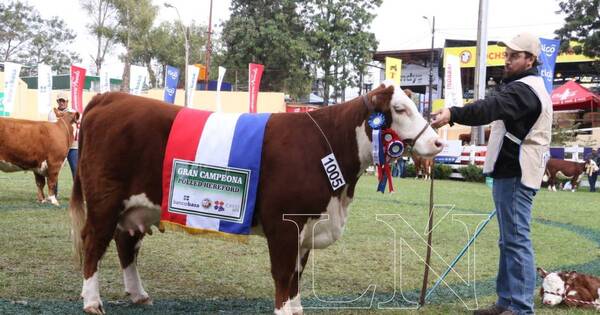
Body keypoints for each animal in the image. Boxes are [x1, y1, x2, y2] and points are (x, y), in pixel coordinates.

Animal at [71, 82, 446, 314]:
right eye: (400, 108)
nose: (438, 143)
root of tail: (110, 97)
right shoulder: (284, 223)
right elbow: (283, 274)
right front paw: (284, 310)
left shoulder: (307, 227)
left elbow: (296, 275)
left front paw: (296, 309)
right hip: (105, 198)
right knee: (93, 242)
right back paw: (91, 301)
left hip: (135, 206)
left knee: (125, 244)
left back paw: (138, 295)